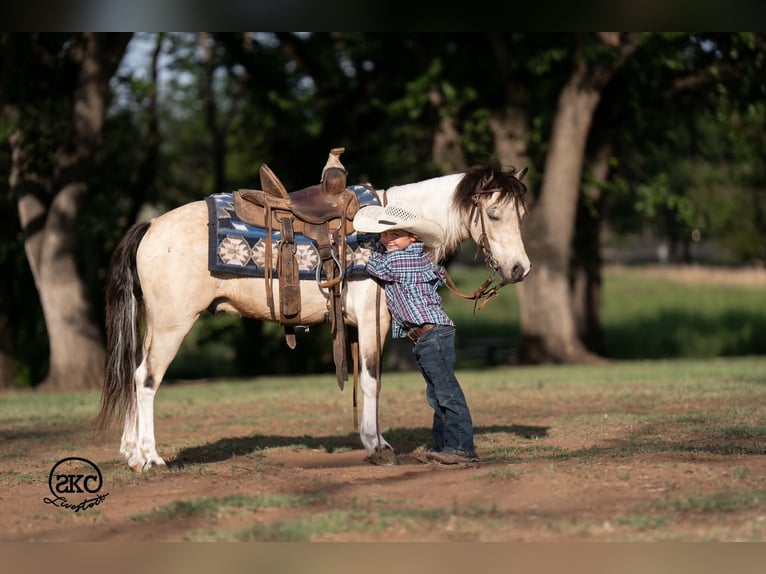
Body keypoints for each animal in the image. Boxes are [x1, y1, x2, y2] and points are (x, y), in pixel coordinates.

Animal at [97, 162, 531, 472]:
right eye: (494, 215)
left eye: (520, 215)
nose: (519, 269)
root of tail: (152, 224)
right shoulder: (372, 322)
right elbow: (372, 381)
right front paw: (378, 446)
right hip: (172, 325)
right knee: (146, 380)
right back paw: (150, 458)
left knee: (135, 375)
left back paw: (131, 453)